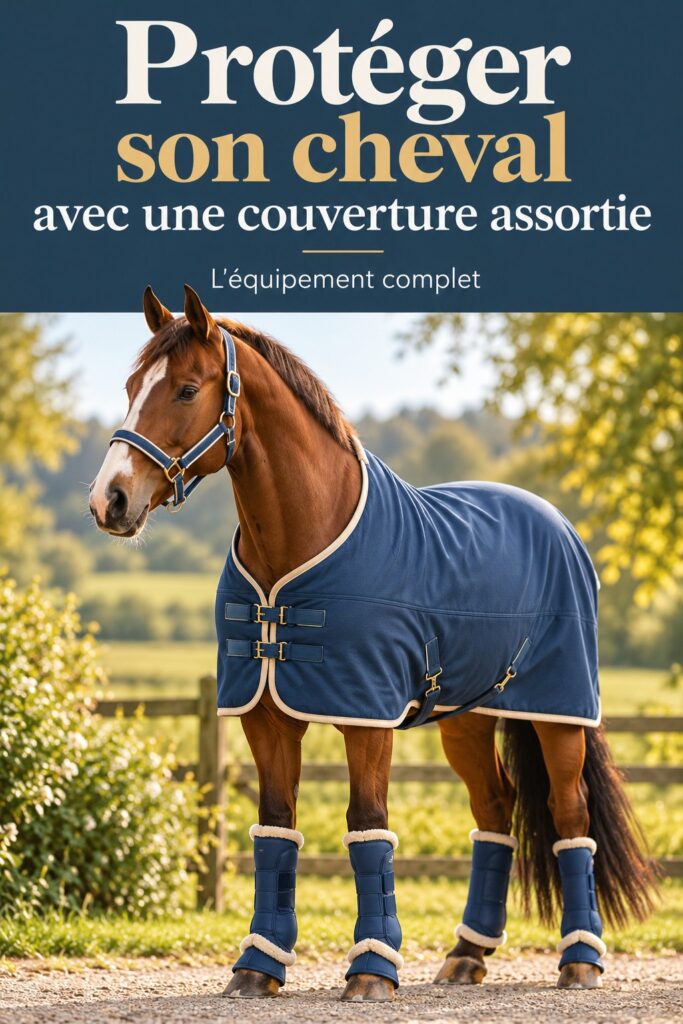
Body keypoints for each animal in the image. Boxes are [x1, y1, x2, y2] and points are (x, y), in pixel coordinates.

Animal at [90, 285, 657, 1001]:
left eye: (188, 389)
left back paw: (580, 960)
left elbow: (367, 826)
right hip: (468, 717)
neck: (304, 539)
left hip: (557, 713)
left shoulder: (367, 719)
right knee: (495, 808)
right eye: (131, 386)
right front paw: (257, 966)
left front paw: (371, 969)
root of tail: (555, 521)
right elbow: (275, 828)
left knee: (570, 814)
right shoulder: (266, 715)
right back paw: (466, 954)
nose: (109, 499)